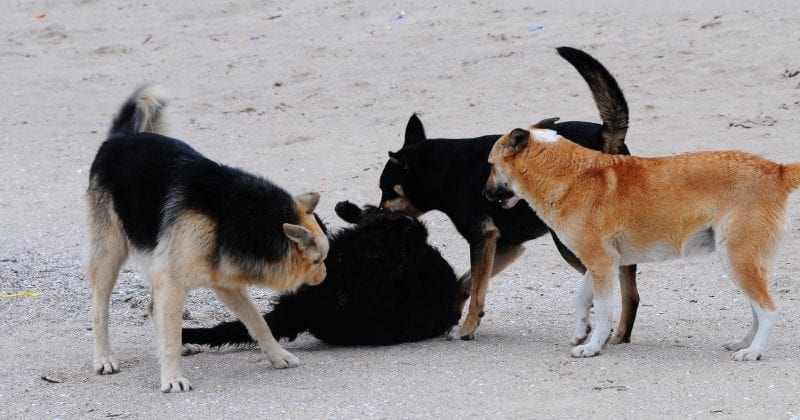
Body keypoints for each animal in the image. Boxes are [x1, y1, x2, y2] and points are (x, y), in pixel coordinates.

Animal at [85, 84, 328, 390]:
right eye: (318, 260)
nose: (325, 278)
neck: (236, 217)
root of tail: (118, 139)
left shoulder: (224, 283)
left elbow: (257, 321)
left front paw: (277, 355)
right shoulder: (173, 282)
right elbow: (171, 335)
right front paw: (172, 378)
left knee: (153, 307)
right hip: (109, 255)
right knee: (100, 310)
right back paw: (104, 358)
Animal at [378, 46, 640, 342]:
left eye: (387, 191)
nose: (378, 213)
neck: (444, 169)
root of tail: (604, 134)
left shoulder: (482, 239)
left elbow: (477, 290)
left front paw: (466, 328)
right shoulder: (505, 245)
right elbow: (468, 282)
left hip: (568, 241)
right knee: (630, 290)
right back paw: (620, 334)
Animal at [484, 123, 800, 360]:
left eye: (490, 165)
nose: (485, 195)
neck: (570, 174)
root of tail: (777, 169)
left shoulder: (601, 263)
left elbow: (603, 310)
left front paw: (593, 346)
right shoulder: (601, 263)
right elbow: (582, 298)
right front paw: (581, 332)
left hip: (737, 260)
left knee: (769, 310)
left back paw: (754, 352)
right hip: (744, 263)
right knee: (757, 310)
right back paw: (745, 344)